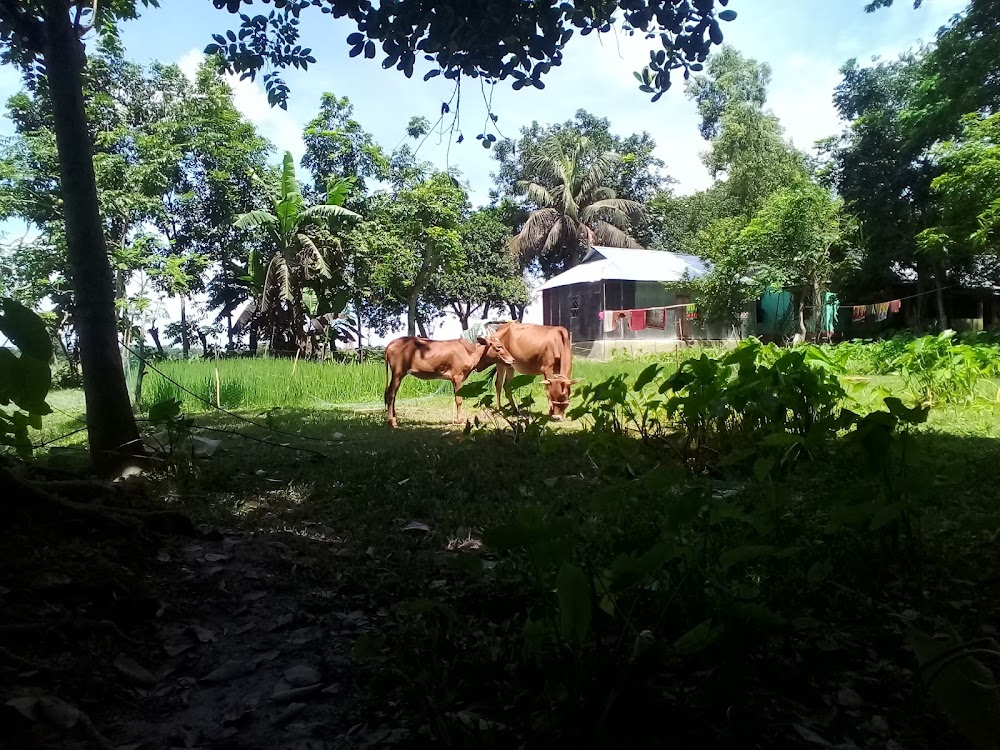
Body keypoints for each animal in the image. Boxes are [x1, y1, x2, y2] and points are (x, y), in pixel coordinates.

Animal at [384, 334, 516, 428]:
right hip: (398, 373)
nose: (513, 360)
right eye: (498, 347)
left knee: (392, 394)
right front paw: (461, 420)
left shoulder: (453, 379)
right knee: (391, 394)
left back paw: (393, 419)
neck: (471, 353)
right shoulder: (457, 377)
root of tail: (391, 343)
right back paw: (392, 422)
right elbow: (459, 400)